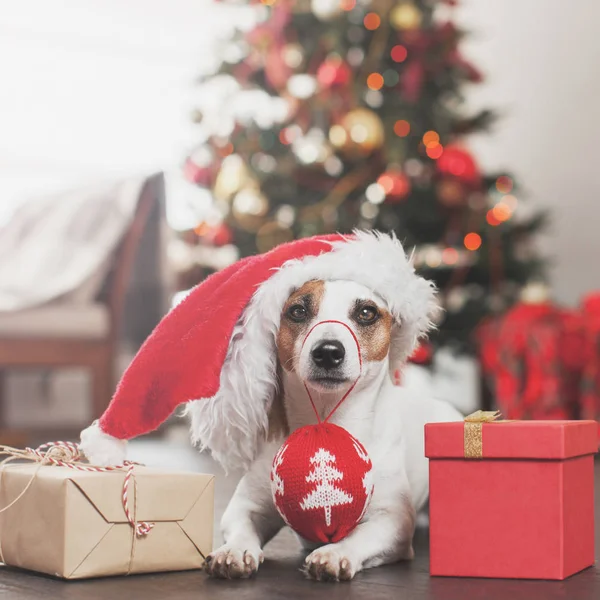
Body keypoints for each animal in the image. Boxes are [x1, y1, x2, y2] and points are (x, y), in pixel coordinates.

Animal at [192, 241, 460, 580]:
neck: (327, 417)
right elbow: (241, 526)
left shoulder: (394, 521)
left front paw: (335, 553)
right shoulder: (247, 505)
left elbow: (363, 536)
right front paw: (234, 551)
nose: (329, 352)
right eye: (298, 311)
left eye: (366, 312)